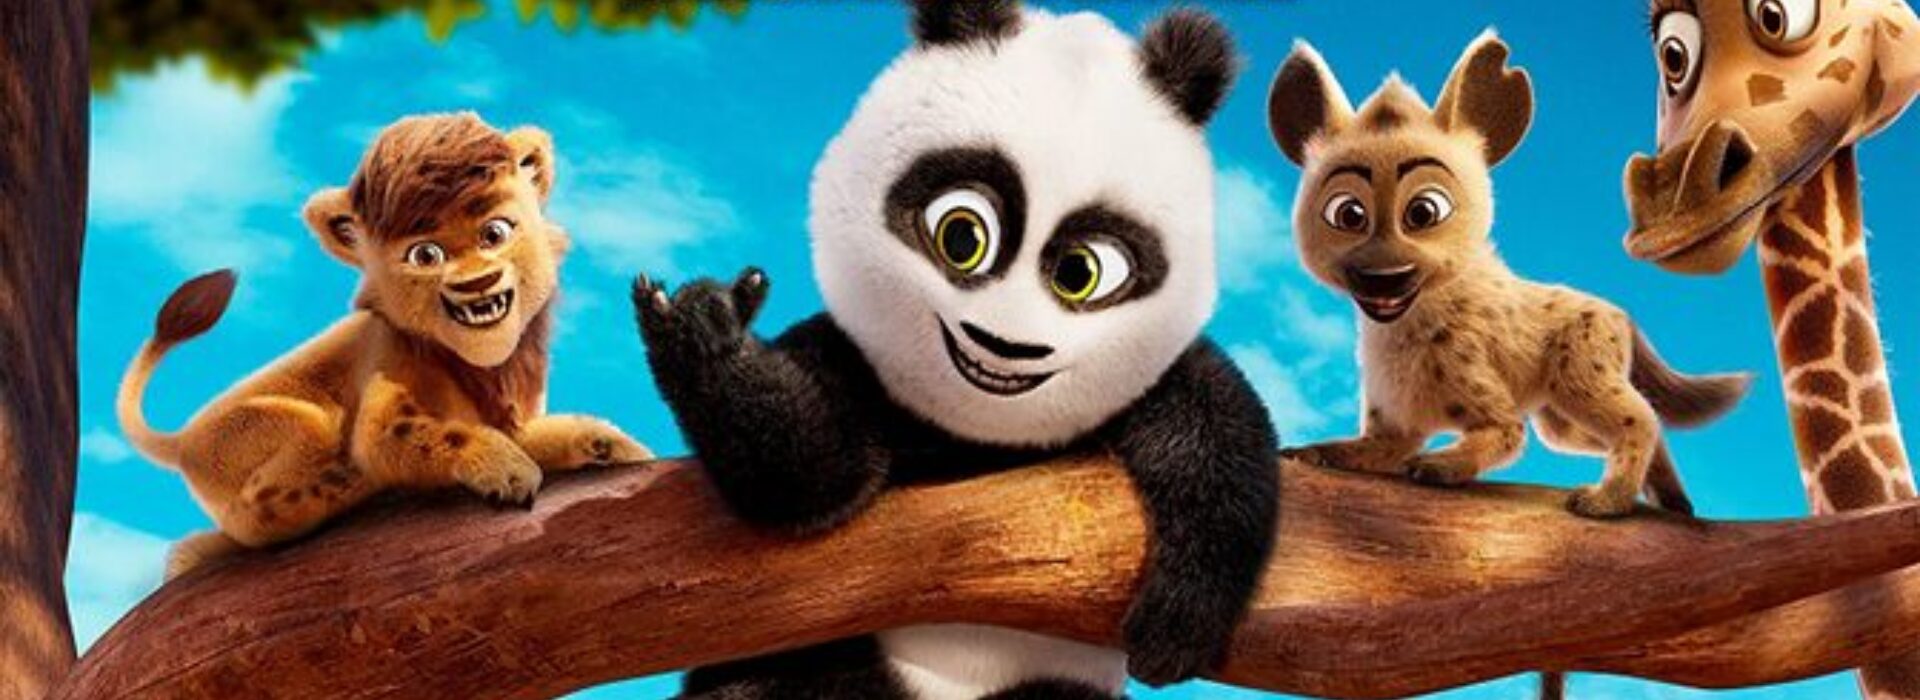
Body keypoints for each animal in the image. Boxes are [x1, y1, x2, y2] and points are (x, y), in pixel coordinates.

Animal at [631, 1, 1279, 698]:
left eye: (1082, 271)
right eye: (962, 235)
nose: (1004, 346)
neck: (982, 437)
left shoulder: (1151, 375)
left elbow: (1221, 430)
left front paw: (1178, 624)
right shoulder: (859, 363)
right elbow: (809, 474)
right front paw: (705, 328)